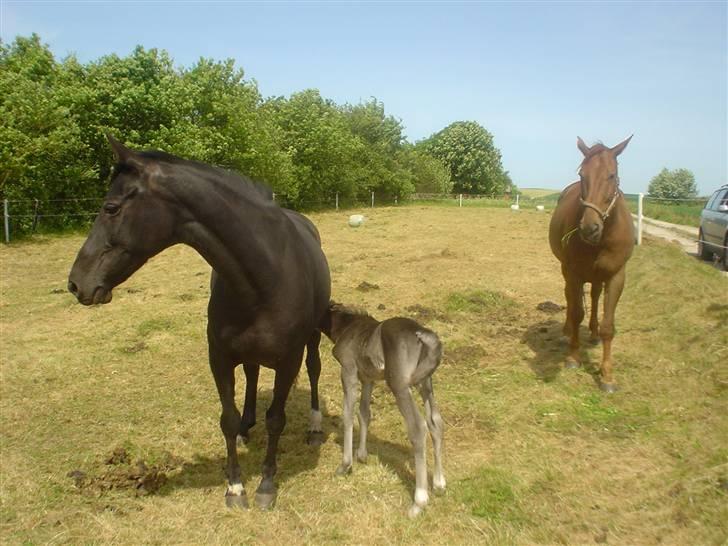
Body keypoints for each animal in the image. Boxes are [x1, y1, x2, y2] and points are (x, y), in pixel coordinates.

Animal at [68, 134, 330, 508]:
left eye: (112, 208)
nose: (77, 283)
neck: (265, 274)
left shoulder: (287, 360)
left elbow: (276, 420)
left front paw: (266, 484)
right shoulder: (218, 357)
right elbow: (227, 419)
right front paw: (235, 486)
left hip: (312, 338)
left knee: (314, 368)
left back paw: (314, 426)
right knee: (252, 373)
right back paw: (248, 426)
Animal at [322, 304, 446, 516]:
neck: (347, 325)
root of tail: (425, 335)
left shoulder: (348, 370)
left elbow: (348, 414)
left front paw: (345, 465)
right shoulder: (368, 378)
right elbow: (364, 413)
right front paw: (362, 455)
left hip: (399, 385)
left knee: (418, 427)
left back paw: (419, 502)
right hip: (425, 383)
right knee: (435, 422)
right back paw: (439, 484)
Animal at [548, 136, 636, 392]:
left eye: (612, 175)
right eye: (582, 175)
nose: (589, 228)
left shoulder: (616, 276)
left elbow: (608, 326)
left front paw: (607, 376)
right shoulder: (574, 273)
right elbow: (577, 311)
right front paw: (573, 357)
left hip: (598, 276)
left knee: (596, 297)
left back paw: (594, 333)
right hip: (567, 270)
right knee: (570, 297)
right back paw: (567, 331)